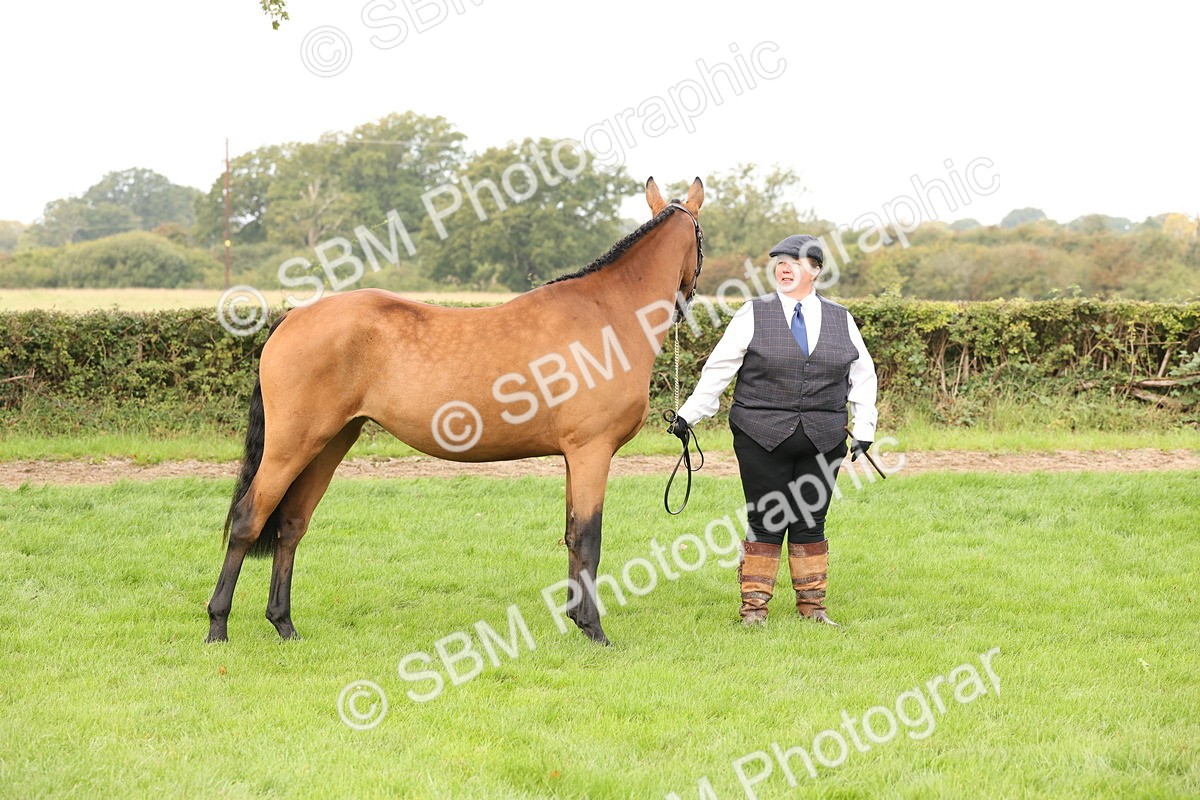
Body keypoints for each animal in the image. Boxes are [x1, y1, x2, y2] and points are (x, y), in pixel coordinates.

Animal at [205, 177, 704, 646]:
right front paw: (594, 629)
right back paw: (218, 626)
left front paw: (575, 621)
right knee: (249, 519)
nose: (686, 305)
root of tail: (292, 317)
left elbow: (570, 535)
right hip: (292, 445)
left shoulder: (573, 457)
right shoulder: (591, 451)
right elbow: (588, 538)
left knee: (291, 525)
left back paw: (284, 624)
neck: (607, 314)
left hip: (329, 443)